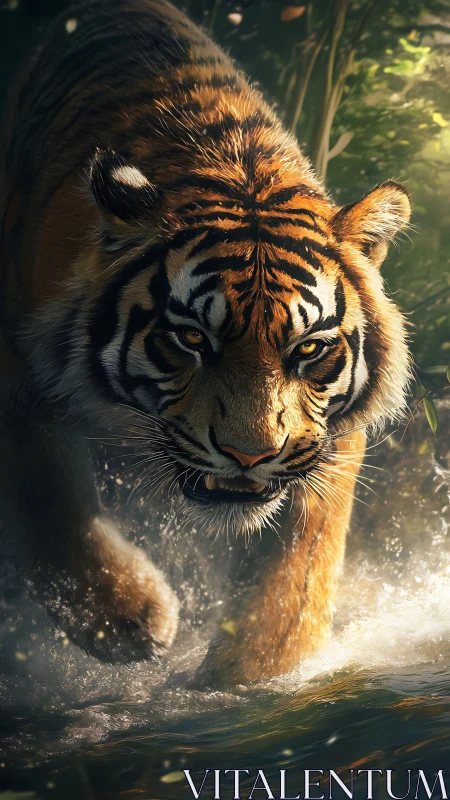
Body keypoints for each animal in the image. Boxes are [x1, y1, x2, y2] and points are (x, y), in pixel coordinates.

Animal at [0, 0, 411, 688]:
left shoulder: (327, 433)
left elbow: (301, 560)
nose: (250, 456)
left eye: (308, 349)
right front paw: (128, 621)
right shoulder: (18, 377)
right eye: (192, 338)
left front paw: (259, 673)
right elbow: (49, 501)